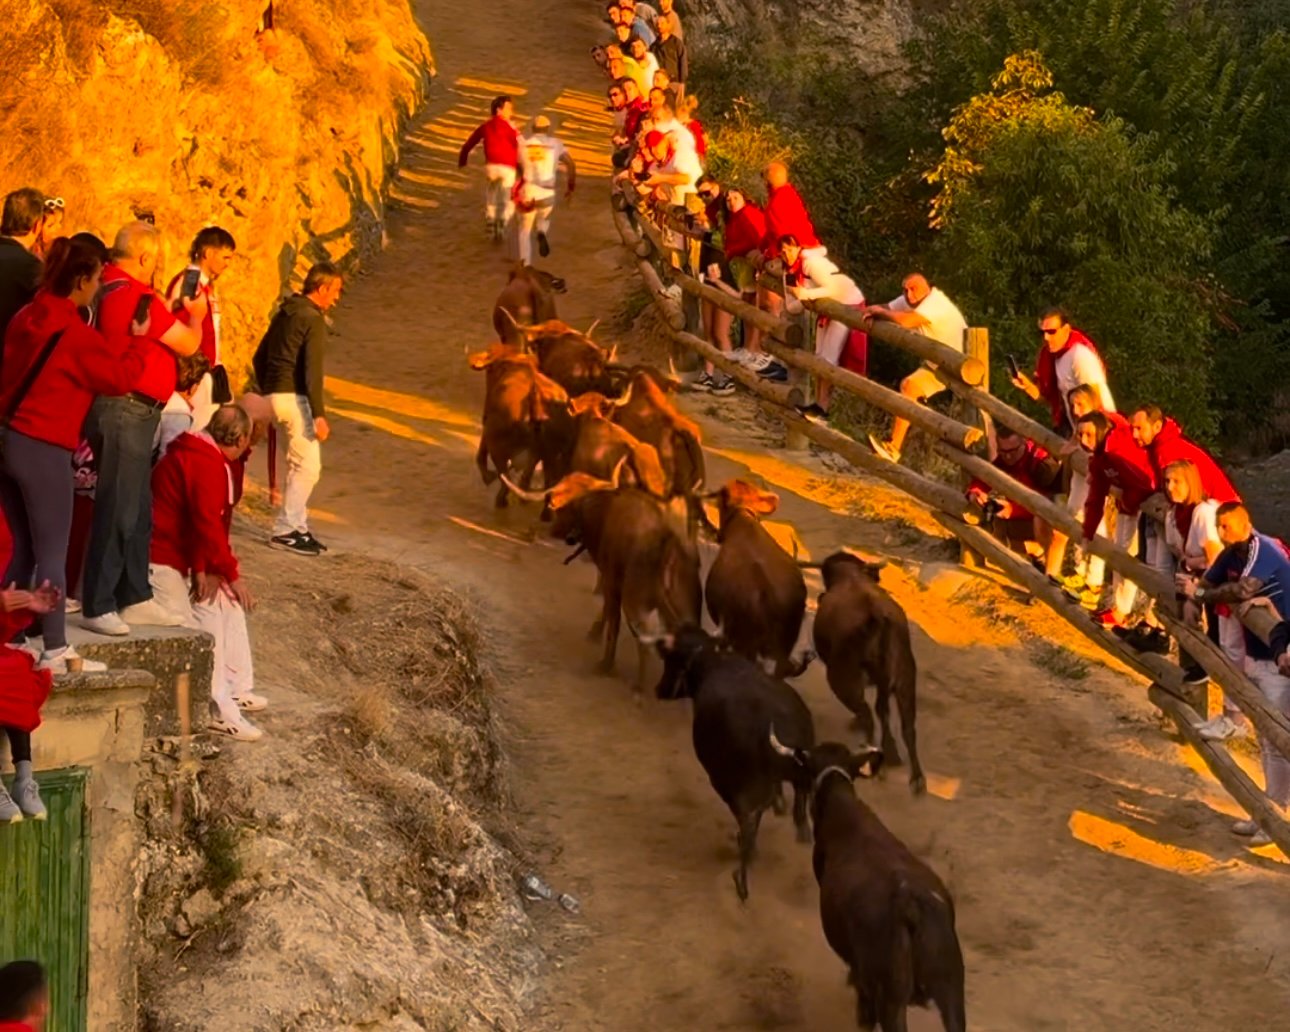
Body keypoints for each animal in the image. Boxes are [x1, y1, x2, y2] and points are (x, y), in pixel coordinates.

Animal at [464, 343, 565, 508]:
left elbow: (481, 454)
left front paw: (487, 476)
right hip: (545, 454)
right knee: (528, 479)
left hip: (498, 448)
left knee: (506, 479)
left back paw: (500, 499)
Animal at [810, 552, 923, 794]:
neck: (852, 577)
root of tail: (876, 617)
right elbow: (886, 712)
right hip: (906, 676)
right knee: (907, 725)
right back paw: (916, 777)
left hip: (841, 679)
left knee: (868, 714)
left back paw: (874, 762)